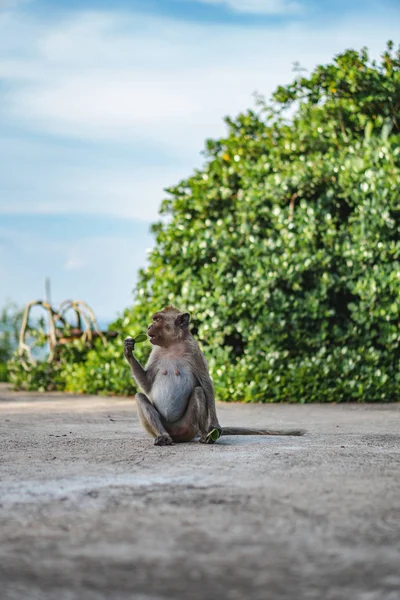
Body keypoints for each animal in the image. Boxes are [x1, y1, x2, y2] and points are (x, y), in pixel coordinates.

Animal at [123, 308, 304, 448]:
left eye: (158, 319)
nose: (149, 326)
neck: (172, 345)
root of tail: (178, 435)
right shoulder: (156, 353)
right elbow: (146, 385)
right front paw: (128, 350)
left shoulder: (194, 351)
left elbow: (206, 383)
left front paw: (215, 425)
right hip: (165, 427)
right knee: (140, 397)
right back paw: (163, 436)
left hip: (189, 427)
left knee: (198, 392)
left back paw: (206, 435)